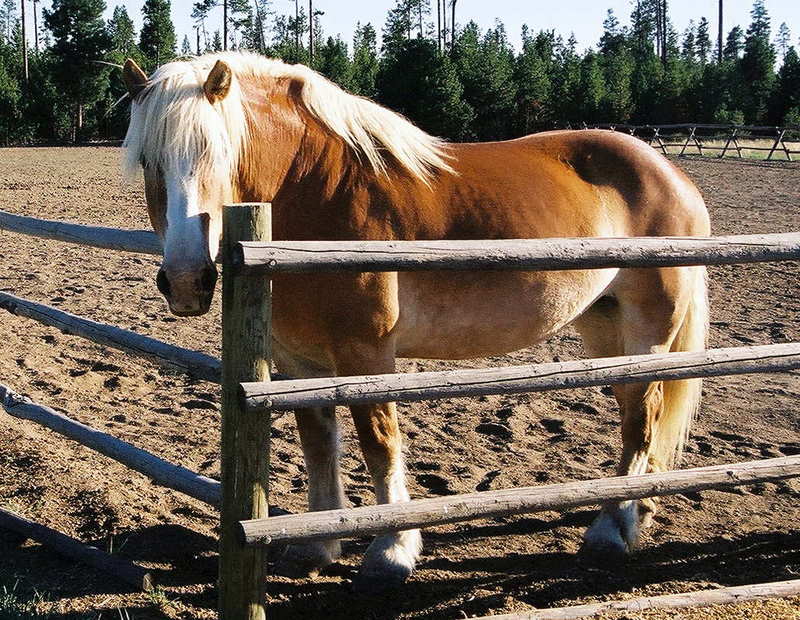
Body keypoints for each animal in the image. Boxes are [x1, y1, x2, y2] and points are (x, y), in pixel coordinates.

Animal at [122, 52, 708, 592]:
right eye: (149, 160)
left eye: (216, 153)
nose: (187, 280)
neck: (314, 189)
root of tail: (669, 173)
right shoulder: (297, 363)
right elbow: (318, 442)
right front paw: (316, 545)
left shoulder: (367, 353)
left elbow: (379, 442)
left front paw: (391, 551)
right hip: (605, 329)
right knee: (635, 414)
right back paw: (637, 512)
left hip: (648, 332)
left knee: (643, 417)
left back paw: (612, 528)